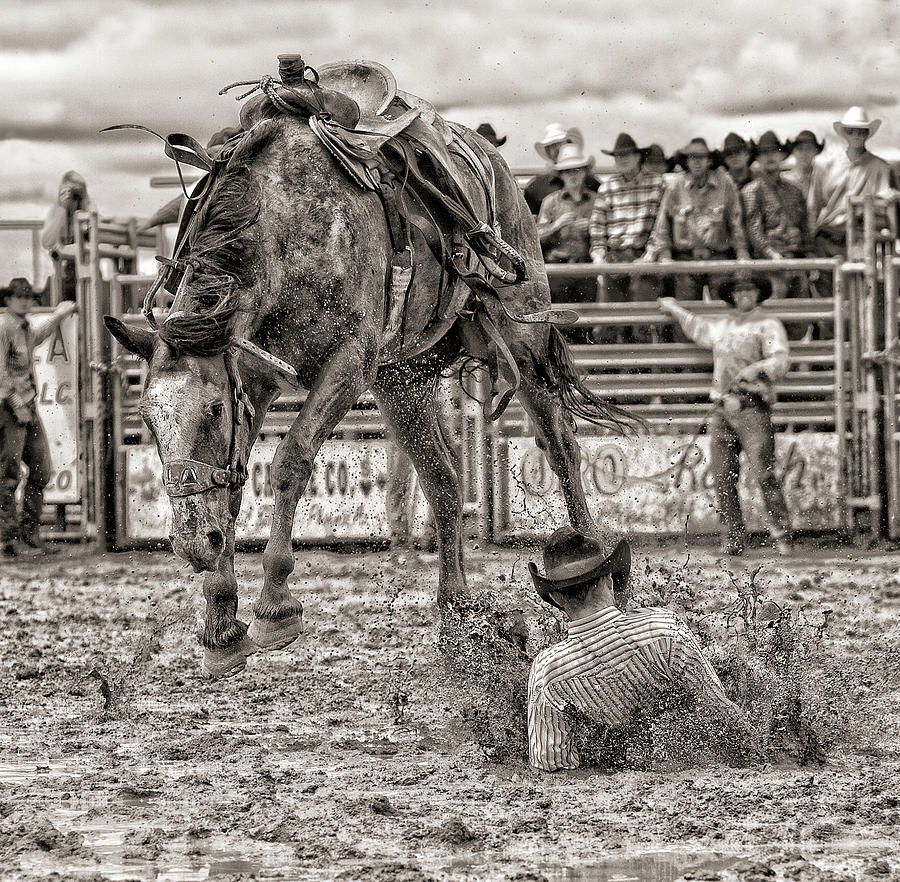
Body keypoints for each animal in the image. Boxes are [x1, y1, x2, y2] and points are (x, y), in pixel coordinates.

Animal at [105, 56, 636, 672]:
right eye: (147, 422)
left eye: (213, 411)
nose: (191, 545)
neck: (287, 224)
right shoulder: (255, 374)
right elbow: (233, 490)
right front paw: (219, 623)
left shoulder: (347, 365)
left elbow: (289, 461)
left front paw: (274, 608)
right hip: (401, 379)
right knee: (444, 479)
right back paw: (455, 613)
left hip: (521, 339)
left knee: (561, 448)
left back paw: (596, 572)